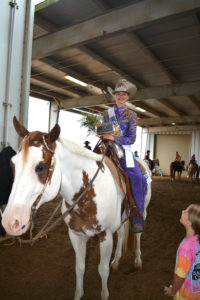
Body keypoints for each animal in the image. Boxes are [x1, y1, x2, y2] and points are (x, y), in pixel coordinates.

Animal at [1, 116, 152, 300]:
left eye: (41, 166)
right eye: (12, 164)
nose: (11, 222)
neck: (87, 194)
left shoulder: (105, 236)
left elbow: (103, 270)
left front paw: (104, 293)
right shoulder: (75, 235)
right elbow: (80, 268)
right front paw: (79, 294)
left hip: (142, 210)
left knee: (137, 234)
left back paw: (137, 261)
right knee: (122, 231)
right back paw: (116, 260)